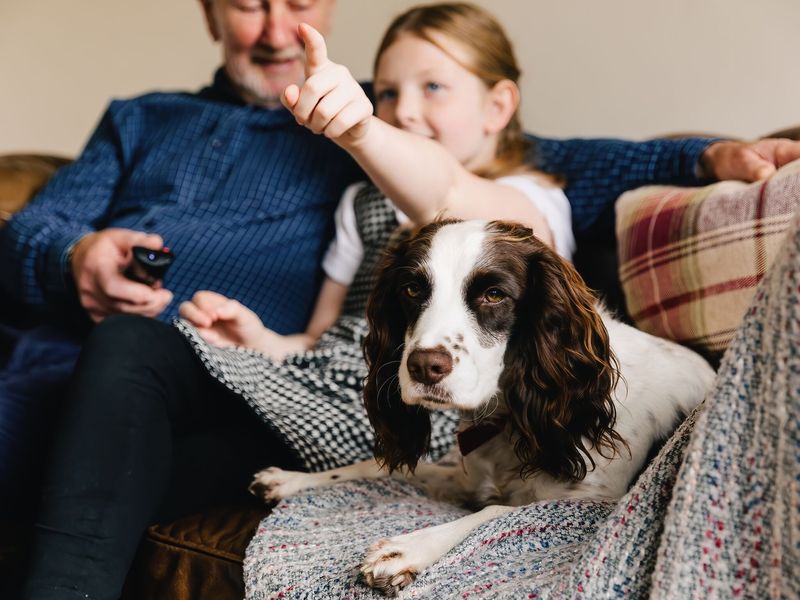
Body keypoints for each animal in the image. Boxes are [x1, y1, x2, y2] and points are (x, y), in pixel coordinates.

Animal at [250, 218, 712, 592]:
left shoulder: (595, 500)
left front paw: (407, 549)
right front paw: (292, 479)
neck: (512, 418)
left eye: (493, 294)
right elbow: (376, 467)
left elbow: (494, 511)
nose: (424, 366)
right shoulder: (467, 476)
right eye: (412, 289)